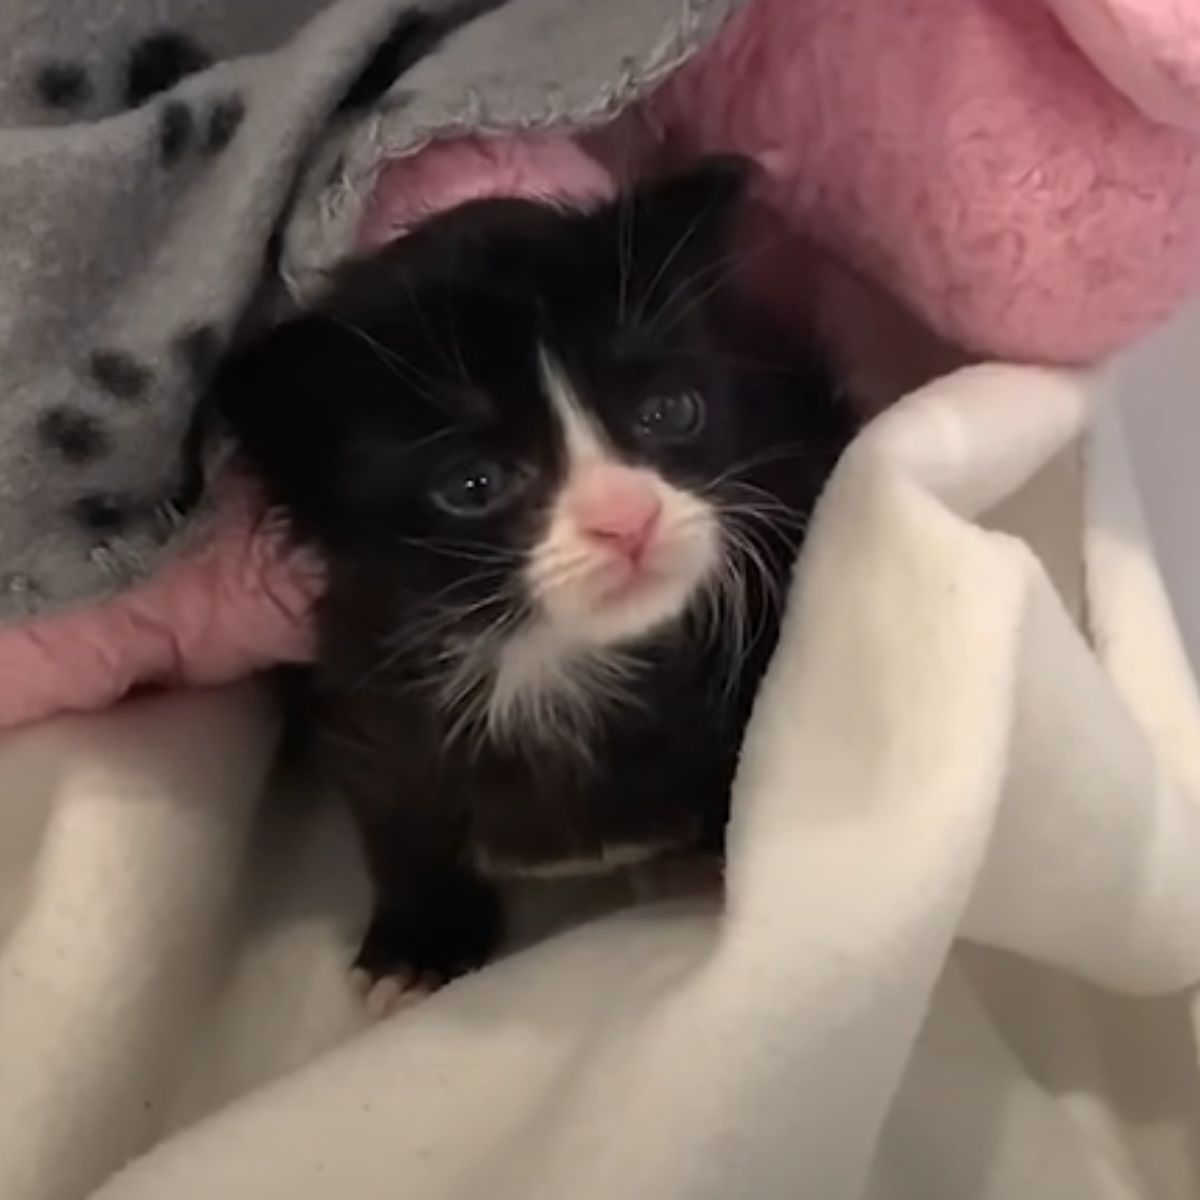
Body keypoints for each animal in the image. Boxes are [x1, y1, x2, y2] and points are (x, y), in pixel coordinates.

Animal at [213, 157, 854, 1003]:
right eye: (474, 484)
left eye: (669, 412)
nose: (628, 518)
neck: (549, 660)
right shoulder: (359, 681)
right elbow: (394, 808)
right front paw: (419, 939)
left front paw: (709, 861)